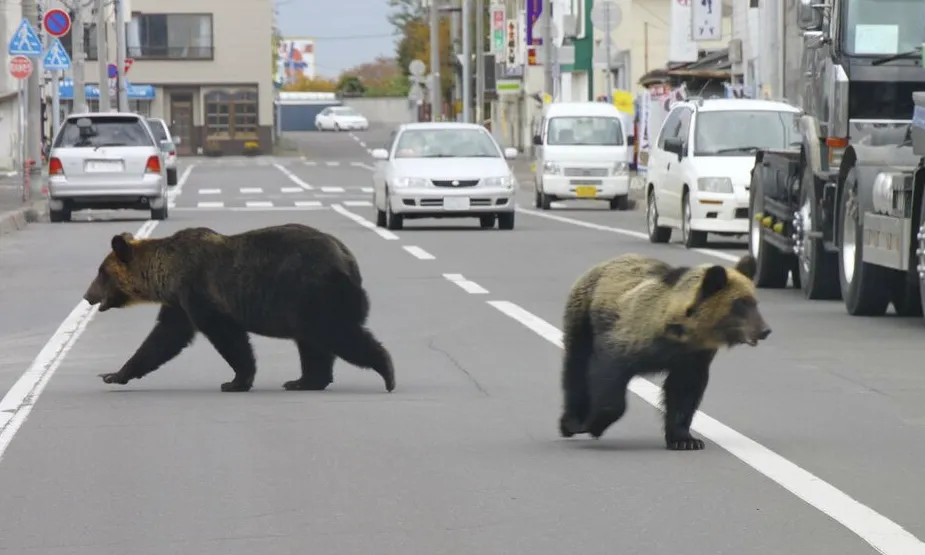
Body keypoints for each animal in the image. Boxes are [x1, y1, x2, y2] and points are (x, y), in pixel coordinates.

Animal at [82, 223, 395, 393]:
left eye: (101, 273)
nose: (87, 295)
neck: (166, 274)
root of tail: (348, 259)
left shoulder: (198, 290)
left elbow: (226, 336)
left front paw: (235, 380)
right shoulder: (179, 303)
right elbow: (164, 338)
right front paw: (114, 374)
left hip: (312, 291)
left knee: (335, 333)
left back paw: (387, 372)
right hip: (306, 303)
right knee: (313, 343)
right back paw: (303, 380)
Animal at [557, 252, 770, 450]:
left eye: (755, 302)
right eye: (740, 303)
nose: (765, 330)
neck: (681, 333)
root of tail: (602, 264)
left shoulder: (693, 358)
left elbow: (684, 392)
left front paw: (686, 440)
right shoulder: (630, 338)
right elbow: (608, 374)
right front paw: (593, 424)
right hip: (583, 315)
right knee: (576, 365)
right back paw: (570, 421)